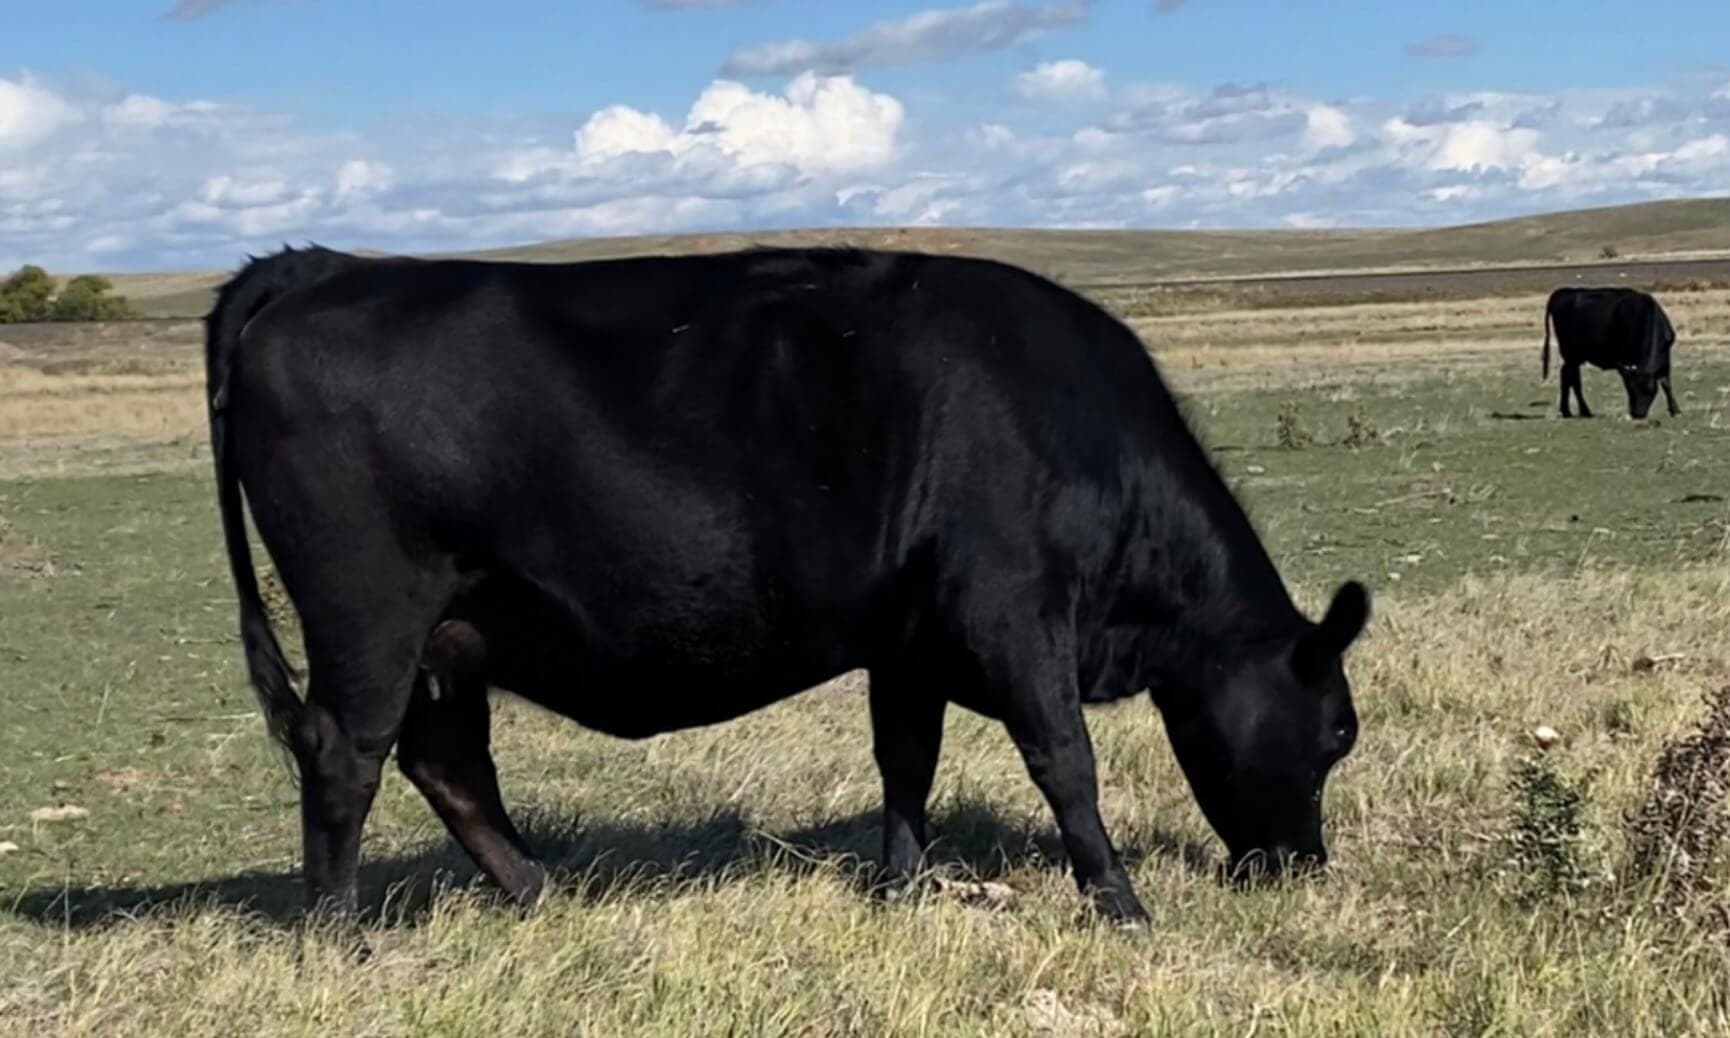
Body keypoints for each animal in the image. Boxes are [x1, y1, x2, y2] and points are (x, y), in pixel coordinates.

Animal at [204, 243, 1371, 927]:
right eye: (1338, 732)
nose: (1300, 867)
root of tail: (317, 264)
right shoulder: (1014, 611)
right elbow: (1064, 764)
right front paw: (1121, 903)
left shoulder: (909, 641)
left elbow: (906, 761)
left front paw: (901, 888)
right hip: (369, 616)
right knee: (345, 756)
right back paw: (340, 936)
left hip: (450, 635)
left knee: (446, 763)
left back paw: (545, 897)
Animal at [1542, 286, 1680, 419]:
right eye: (1631, 389)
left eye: (1649, 391)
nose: (1637, 414)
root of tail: (1564, 292)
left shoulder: (1664, 359)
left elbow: (1666, 383)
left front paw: (1675, 410)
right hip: (1570, 354)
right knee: (1571, 378)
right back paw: (1575, 411)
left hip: (1575, 356)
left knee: (1569, 376)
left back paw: (1573, 411)